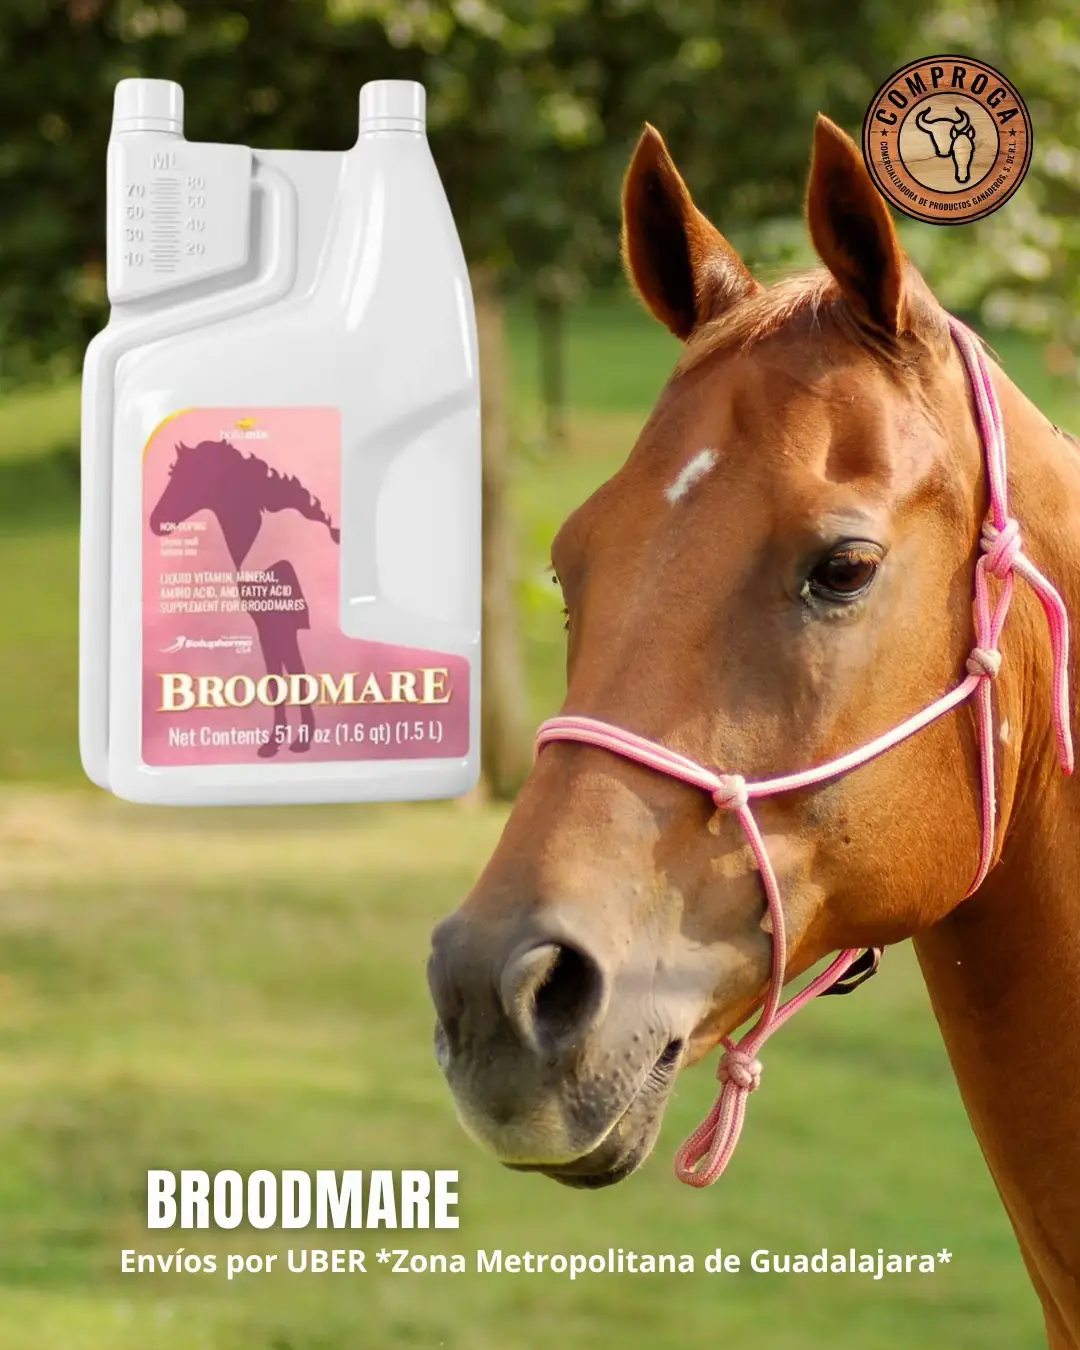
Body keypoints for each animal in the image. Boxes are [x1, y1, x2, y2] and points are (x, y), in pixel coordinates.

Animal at [148, 439, 340, 756]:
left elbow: (290, 678)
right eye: (172, 475)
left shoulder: (279, 628)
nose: (155, 522)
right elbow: (281, 680)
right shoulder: (276, 631)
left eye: (190, 477)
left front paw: (294, 741)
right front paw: (281, 740)